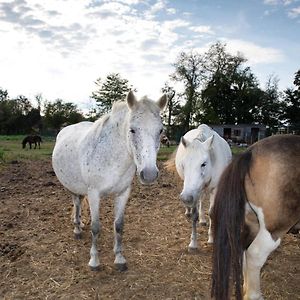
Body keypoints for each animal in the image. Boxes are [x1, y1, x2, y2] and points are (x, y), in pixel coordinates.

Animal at [52, 90, 168, 270]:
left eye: (160, 130)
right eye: (132, 130)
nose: (149, 174)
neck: (112, 157)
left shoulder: (123, 193)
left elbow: (119, 225)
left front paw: (119, 258)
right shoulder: (94, 194)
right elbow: (95, 227)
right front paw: (94, 261)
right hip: (71, 187)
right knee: (76, 203)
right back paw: (77, 229)